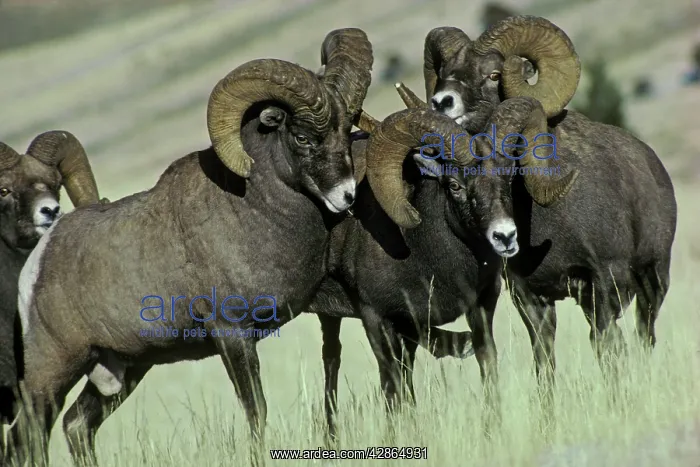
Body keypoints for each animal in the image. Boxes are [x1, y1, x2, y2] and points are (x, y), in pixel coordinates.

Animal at [308, 97, 576, 439]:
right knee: (333, 361)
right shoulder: (376, 319)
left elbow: (486, 363)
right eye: (455, 185)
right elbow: (392, 386)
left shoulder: (477, 308)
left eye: (508, 177)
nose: (504, 236)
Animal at [397, 34, 677, 430]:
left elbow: (608, 349)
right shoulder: (531, 297)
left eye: (493, 73)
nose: (441, 102)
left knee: (641, 337)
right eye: (445, 71)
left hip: (653, 282)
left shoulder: (604, 283)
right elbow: (544, 360)